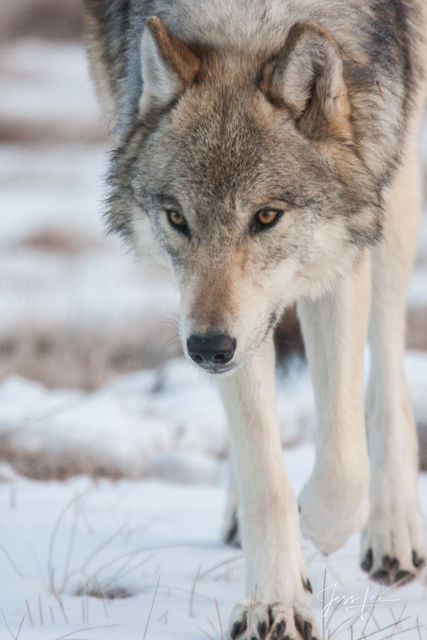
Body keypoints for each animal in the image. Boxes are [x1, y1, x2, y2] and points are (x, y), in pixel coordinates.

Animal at [83, 2, 427, 636]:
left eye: (266, 217)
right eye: (177, 218)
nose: (207, 350)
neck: (246, 21)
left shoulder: (344, 249)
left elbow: (343, 463)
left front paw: (320, 524)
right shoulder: (223, 322)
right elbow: (263, 472)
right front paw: (276, 600)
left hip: (399, 178)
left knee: (386, 369)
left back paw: (393, 530)